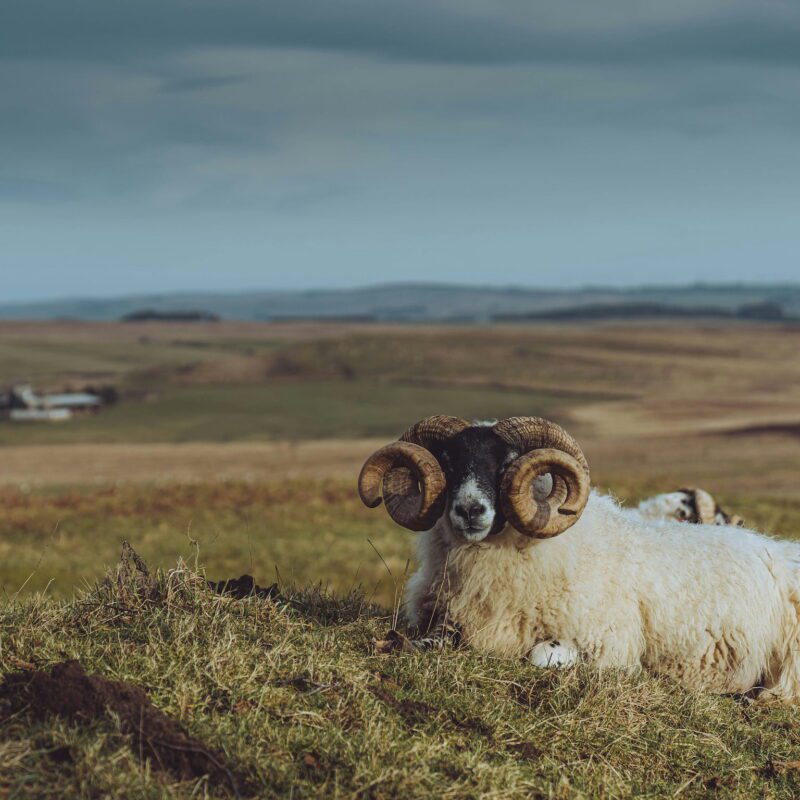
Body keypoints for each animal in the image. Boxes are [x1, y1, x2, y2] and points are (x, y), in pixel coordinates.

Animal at [360, 416, 800, 704]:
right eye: (448, 464)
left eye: (506, 464)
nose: (469, 510)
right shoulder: (446, 616)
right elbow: (428, 639)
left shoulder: (611, 643)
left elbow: (540, 656)